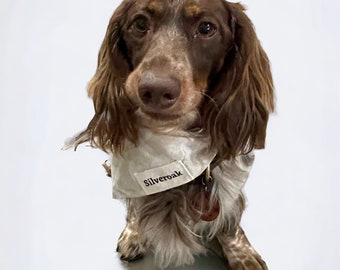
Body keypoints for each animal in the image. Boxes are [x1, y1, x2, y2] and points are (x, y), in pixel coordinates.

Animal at [67, 0, 274, 268]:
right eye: (140, 23)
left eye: (207, 28)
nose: (155, 90)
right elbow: (134, 206)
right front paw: (134, 234)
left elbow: (230, 222)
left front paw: (242, 254)